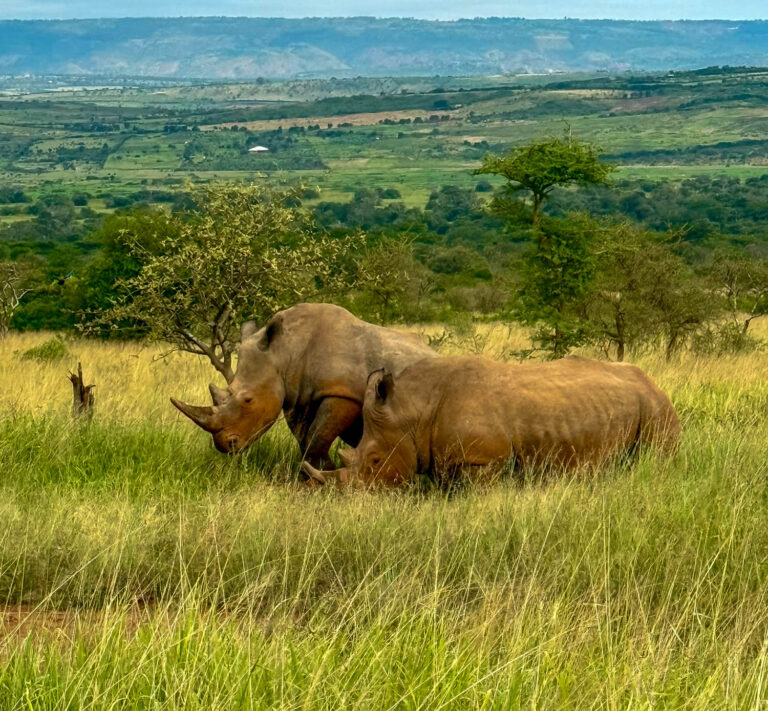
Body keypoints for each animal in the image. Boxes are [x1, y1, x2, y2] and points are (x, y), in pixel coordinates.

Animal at [171, 303, 435, 466]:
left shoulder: (342, 393)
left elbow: (316, 437)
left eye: (248, 399)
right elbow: (306, 438)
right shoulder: (297, 397)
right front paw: (318, 474)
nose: (226, 446)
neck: (286, 349)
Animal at [301, 355, 680, 487]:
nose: (353, 499)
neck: (413, 410)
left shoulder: (482, 461)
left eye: (376, 461)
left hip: (657, 410)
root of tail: (655, 384)